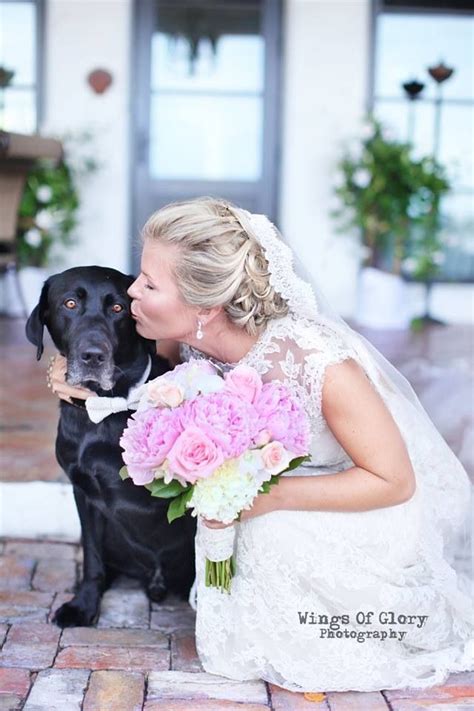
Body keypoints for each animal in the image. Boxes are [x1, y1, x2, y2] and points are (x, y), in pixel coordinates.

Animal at [25, 268, 196, 628]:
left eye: (118, 308)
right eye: (70, 303)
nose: (93, 356)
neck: (104, 410)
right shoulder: (84, 493)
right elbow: (92, 557)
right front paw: (84, 605)